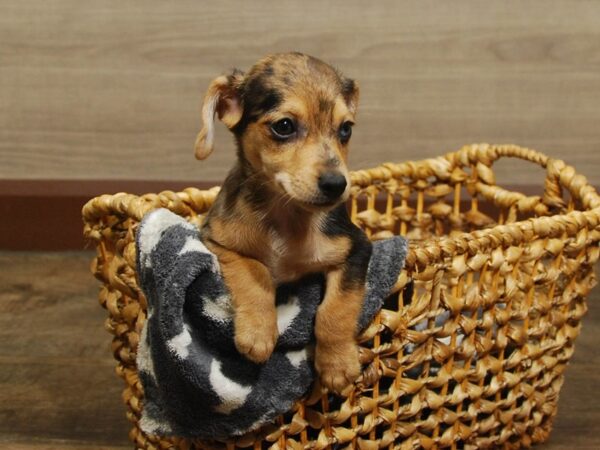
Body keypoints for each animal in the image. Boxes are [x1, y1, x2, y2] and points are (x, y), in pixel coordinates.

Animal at [193, 51, 370, 392]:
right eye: (284, 126)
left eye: (346, 129)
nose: (336, 184)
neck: (286, 218)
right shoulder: (216, 239)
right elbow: (255, 271)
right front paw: (258, 334)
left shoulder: (358, 248)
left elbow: (336, 309)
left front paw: (338, 364)